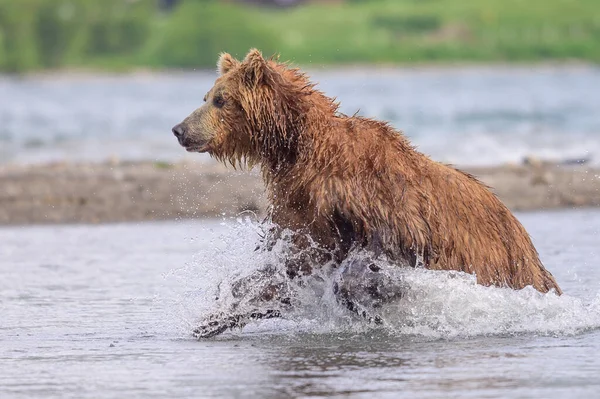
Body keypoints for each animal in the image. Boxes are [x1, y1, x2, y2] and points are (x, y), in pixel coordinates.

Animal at [172, 48, 564, 336]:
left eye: (220, 99)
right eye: (206, 96)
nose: (179, 129)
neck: (300, 150)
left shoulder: (379, 203)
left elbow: (377, 255)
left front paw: (367, 300)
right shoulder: (302, 207)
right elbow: (291, 263)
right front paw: (220, 313)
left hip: (502, 263)